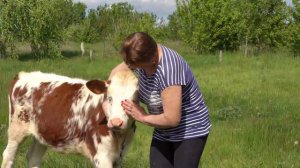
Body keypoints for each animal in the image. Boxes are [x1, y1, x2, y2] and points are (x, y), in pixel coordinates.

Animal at [0, 70, 138, 168]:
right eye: (109, 97)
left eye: (134, 100)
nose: (116, 122)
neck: (120, 137)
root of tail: (23, 74)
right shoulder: (102, 157)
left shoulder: (119, 157)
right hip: (16, 130)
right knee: (8, 156)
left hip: (42, 134)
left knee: (34, 158)